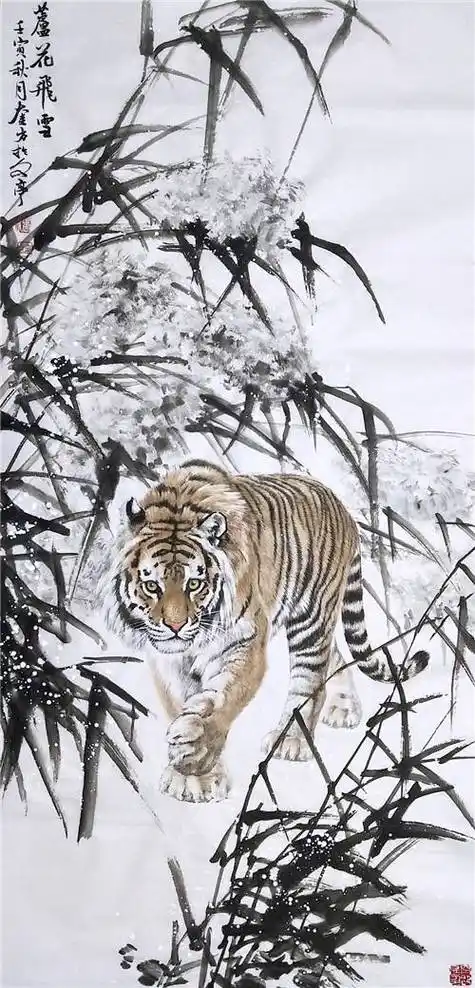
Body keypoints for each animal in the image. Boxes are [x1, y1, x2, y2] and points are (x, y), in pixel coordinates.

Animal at [102, 460, 429, 803]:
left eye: (194, 583)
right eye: (152, 586)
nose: (175, 627)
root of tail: (343, 508)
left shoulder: (244, 643)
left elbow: (224, 698)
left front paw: (196, 752)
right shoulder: (168, 659)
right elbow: (179, 701)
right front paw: (192, 778)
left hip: (312, 618)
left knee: (311, 679)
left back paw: (293, 741)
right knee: (336, 655)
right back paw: (344, 708)